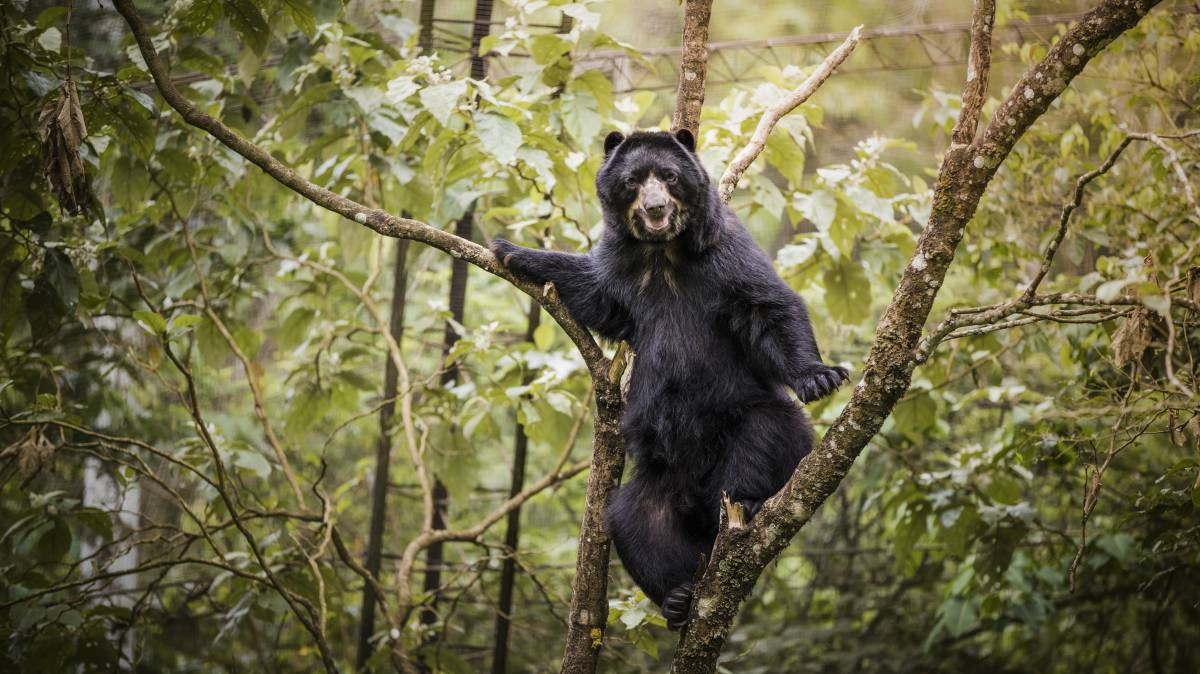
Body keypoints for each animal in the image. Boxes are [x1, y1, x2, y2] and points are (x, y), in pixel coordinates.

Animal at [487, 130, 844, 623]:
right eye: (633, 180)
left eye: (670, 177)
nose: (655, 208)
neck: (662, 253)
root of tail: (697, 498)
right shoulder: (621, 268)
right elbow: (593, 291)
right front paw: (511, 250)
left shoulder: (726, 254)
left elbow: (768, 307)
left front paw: (820, 377)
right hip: (658, 478)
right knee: (632, 519)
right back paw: (677, 597)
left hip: (746, 420)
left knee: (767, 431)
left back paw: (749, 503)